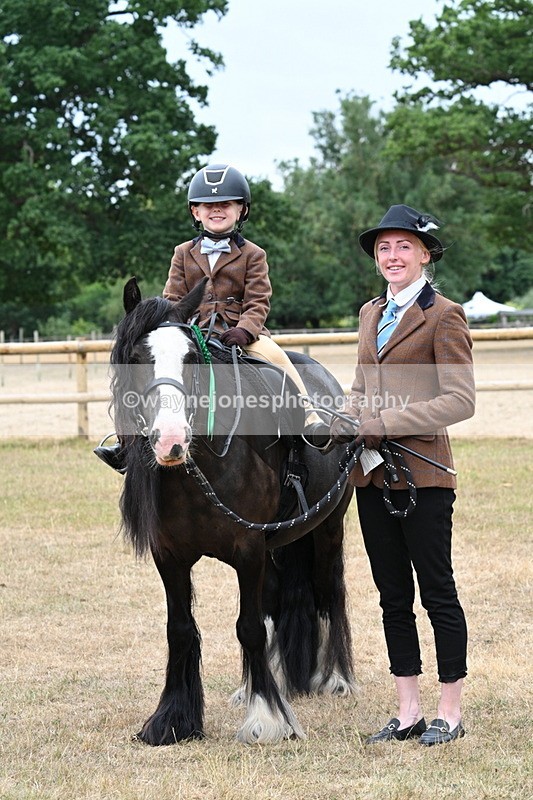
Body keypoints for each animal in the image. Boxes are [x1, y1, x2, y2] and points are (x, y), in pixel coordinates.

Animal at [108, 276, 355, 745]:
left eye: (190, 359)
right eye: (135, 358)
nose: (171, 440)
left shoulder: (248, 548)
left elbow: (249, 627)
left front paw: (268, 719)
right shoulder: (170, 556)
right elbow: (180, 629)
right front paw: (172, 719)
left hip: (327, 528)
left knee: (328, 591)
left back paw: (335, 678)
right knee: (276, 599)